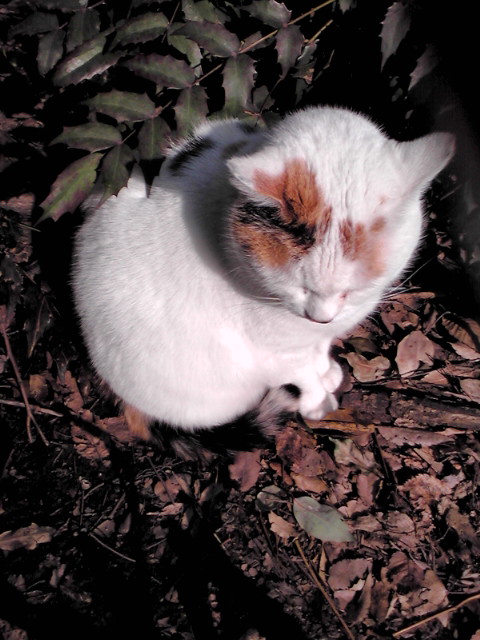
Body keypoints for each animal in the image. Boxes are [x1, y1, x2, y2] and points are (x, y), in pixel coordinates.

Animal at [72, 106, 454, 445]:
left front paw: (327, 371)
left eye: (353, 289)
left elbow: (317, 352)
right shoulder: (270, 354)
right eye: (299, 287)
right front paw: (317, 401)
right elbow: (301, 372)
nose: (321, 317)